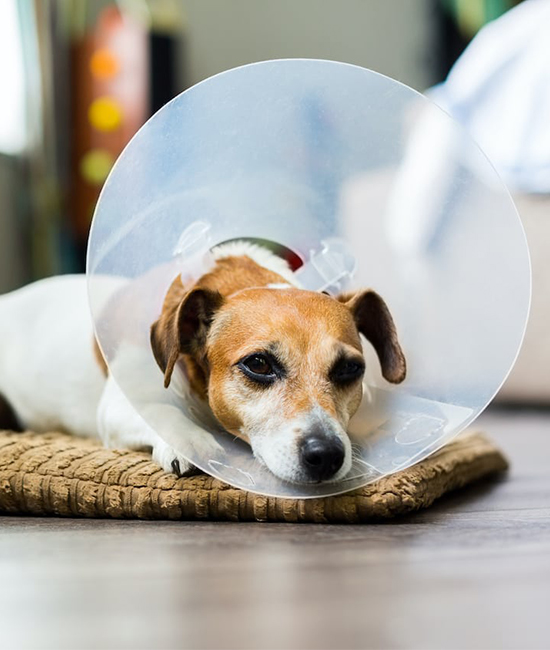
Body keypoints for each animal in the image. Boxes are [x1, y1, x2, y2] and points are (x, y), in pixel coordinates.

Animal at [0, 242, 406, 480]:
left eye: (350, 369)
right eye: (259, 364)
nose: (327, 455)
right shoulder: (120, 404)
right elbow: (162, 412)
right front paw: (189, 440)